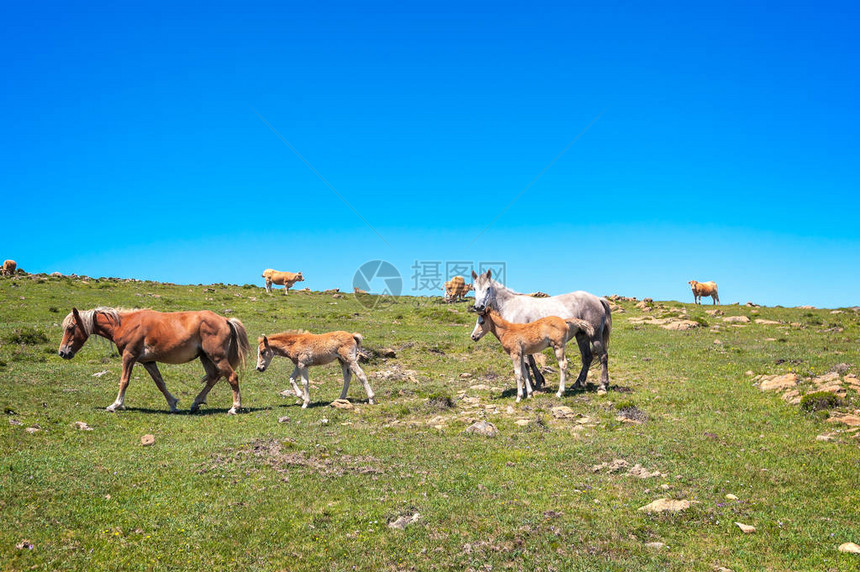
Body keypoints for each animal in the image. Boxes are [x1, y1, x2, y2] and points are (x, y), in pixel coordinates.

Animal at [470, 270, 612, 392]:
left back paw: (603, 385)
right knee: (587, 357)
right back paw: (577, 384)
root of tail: (597, 299)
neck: (510, 306)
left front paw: (531, 386)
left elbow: (526, 364)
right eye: (474, 288)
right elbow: (530, 362)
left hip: (595, 336)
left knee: (603, 356)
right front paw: (537, 383)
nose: (479, 307)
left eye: (488, 288)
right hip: (582, 336)